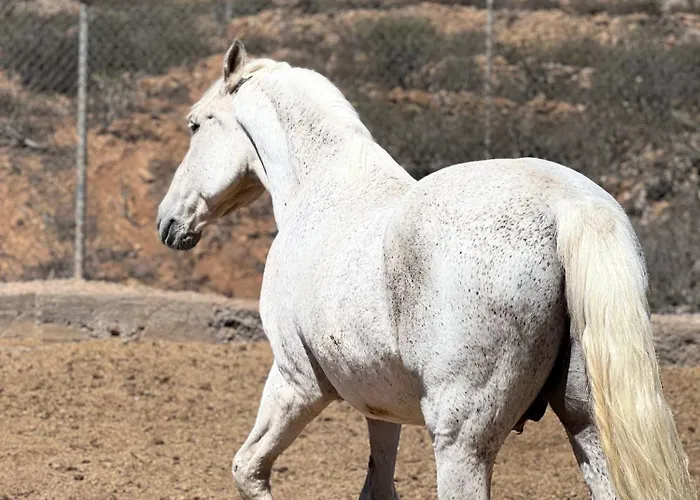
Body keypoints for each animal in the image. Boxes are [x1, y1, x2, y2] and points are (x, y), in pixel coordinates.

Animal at [156, 40, 694, 500]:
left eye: (195, 125)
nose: (168, 223)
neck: (324, 190)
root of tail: (567, 204)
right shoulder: (379, 405)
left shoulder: (296, 380)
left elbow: (248, 469)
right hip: (589, 427)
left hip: (461, 444)